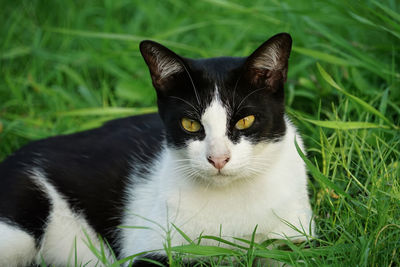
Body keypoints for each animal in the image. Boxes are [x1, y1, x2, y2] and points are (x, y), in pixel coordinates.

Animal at [0, 32, 312, 266]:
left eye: (245, 120)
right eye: (190, 124)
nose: (218, 159)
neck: (231, 200)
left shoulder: (297, 235)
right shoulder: (149, 250)